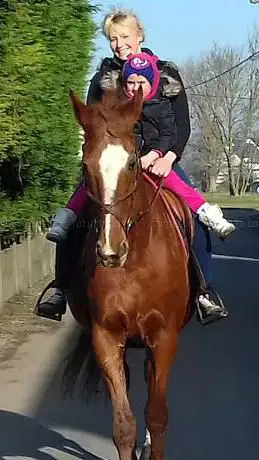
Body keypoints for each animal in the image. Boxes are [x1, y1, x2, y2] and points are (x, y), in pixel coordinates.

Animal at [64, 89, 195, 460]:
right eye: (85, 165)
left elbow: (158, 416)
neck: (135, 262)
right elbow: (124, 425)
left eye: (133, 163)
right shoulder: (106, 338)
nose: (110, 251)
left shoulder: (164, 337)